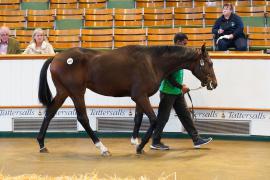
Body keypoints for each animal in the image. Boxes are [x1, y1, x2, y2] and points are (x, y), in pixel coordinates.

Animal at [37, 44, 217, 155]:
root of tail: (56, 57)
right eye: (209, 63)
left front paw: (136, 142)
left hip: (63, 92)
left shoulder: (140, 97)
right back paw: (102, 148)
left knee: (50, 113)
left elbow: (138, 118)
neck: (152, 62)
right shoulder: (140, 96)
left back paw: (41, 144)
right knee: (83, 118)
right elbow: (154, 120)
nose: (214, 84)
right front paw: (140, 146)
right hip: (76, 92)